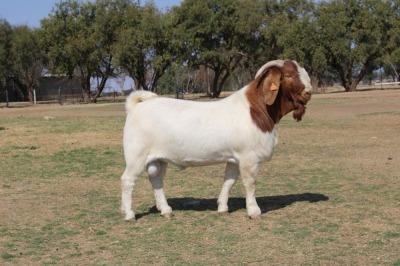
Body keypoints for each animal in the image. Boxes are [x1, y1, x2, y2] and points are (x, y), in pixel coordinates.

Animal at [120, 60, 310, 220]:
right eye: (289, 75)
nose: (308, 92)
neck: (257, 110)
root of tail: (135, 107)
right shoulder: (249, 157)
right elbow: (250, 183)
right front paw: (254, 211)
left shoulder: (234, 158)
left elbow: (229, 181)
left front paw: (223, 207)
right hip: (136, 156)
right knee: (127, 180)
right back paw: (129, 214)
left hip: (159, 158)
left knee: (157, 180)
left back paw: (166, 210)